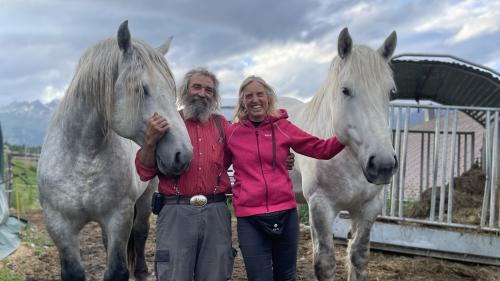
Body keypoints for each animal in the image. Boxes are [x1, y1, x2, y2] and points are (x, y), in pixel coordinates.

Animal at [37, 21, 192, 280]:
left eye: (173, 91)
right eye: (142, 89)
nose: (184, 155)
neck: (83, 157)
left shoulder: (119, 217)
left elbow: (118, 269)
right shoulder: (58, 224)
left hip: (145, 199)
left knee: (140, 234)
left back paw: (141, 271)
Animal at [282, 26, 398, 280]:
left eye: (391, 91)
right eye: (345, 90)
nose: (383, 165)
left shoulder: (369, 207)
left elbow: (358, 257)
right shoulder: (321, 207)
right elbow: (325, 264)